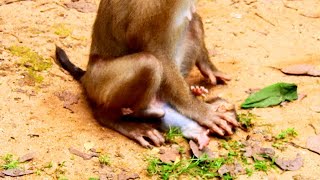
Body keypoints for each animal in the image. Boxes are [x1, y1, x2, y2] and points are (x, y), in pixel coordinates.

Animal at [56, 0, 239, 148]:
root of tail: (87, 75)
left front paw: (209, 68)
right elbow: (153, 48)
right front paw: (201, 111)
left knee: (193, 22)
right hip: (98, 82)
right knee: (149, 63)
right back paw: (114, 118)